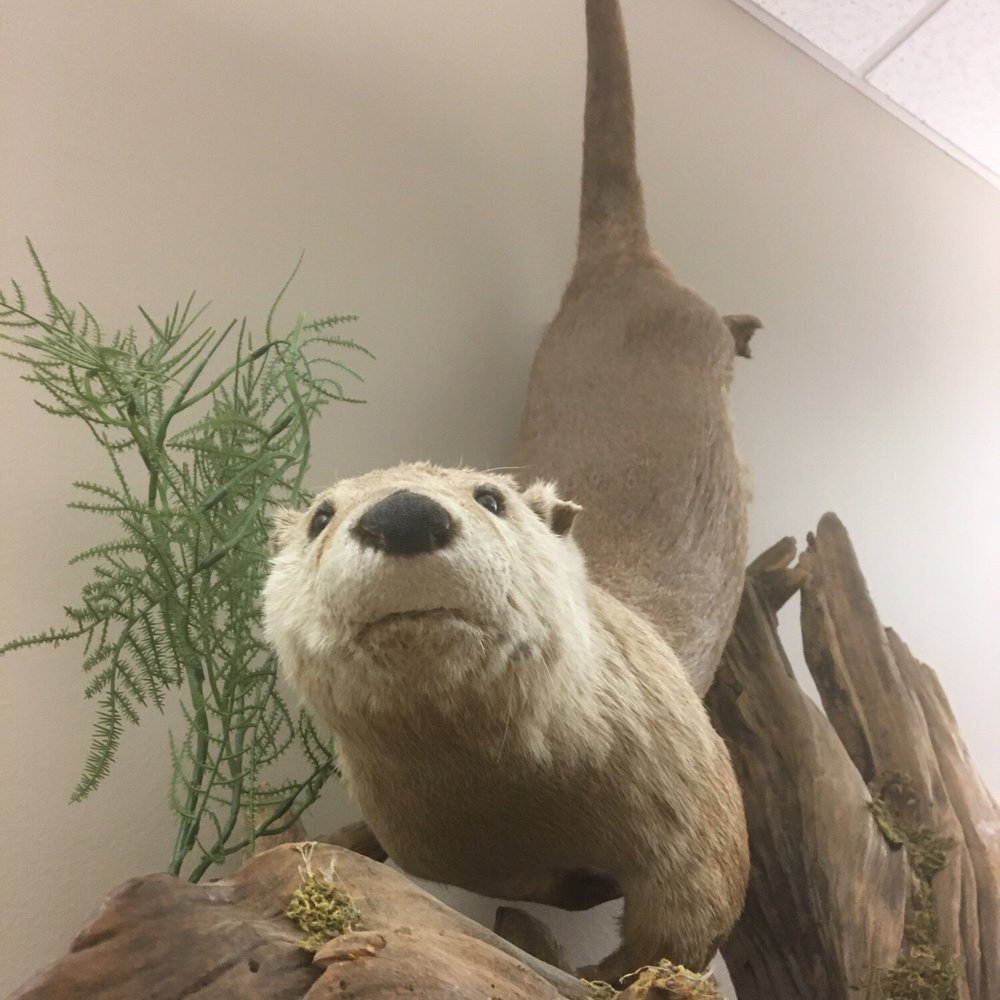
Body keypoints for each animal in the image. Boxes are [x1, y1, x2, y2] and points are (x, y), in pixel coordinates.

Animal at [264, 462, 749, 983]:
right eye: (320, 516)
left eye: (491, 498)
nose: (403, 515)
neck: (524, 801)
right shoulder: (426, 843)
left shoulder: (687, 789)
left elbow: (688, 922)